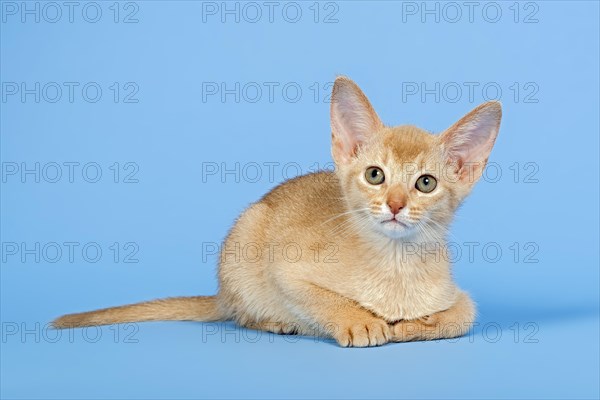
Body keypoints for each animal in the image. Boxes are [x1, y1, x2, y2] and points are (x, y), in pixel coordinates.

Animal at [52, 76, 502, 346]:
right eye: (375, 175)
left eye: (425, 183)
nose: (394, 204)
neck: (395, 263)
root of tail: (221, 294)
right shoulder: (287, 268)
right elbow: (318, 297)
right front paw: (360, 320)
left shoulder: (455, 295)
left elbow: (464, 314)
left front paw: (414, 326)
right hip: (248, 233)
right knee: (243, 315)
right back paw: (277, 321)